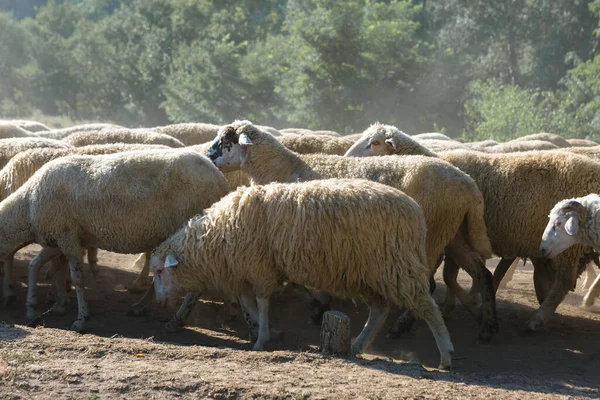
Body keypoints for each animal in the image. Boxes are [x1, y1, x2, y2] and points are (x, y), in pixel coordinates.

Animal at [0, 148, 230, 330]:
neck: (27, 207)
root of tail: (221, 179)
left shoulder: (67, 238)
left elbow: (76, 278)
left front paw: (81, 318)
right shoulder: (59, 239)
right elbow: (38, 266)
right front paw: (41, 308)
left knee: (194, 284)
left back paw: (176, 320)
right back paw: (141, 307)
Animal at [151, 178, 454, 368]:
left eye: (159, 271)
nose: (158, 302)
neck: (216, 236)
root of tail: (416, 212)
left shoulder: (259, 267)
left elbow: (261, 304)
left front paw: (261, 339)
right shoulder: (245, 272)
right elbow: (249, 306)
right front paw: (270, 333)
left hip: (396, 265)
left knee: (428, 306)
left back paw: (446, 356)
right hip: (366, 273)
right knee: (379, 310)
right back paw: (358, 346)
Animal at [206, 120, 496, 342]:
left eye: (225, 140)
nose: (207, 157)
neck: (286, 168)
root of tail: (469, 185)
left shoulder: (298, 233)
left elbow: (304, 279)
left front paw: (318, 307)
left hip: (431, 235)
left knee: (428, 284)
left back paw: (402, 326)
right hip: (454, 234)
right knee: (483, 274)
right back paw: (486, 327)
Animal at [344, 123, 600, 330]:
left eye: (374, 142)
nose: (347, 159)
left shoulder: (447, 237)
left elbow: (443, 277)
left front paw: (464, 306)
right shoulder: (453, 240)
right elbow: (450, 276)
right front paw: (457, 306)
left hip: (568, 244)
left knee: (563, 281)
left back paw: (539, 317)